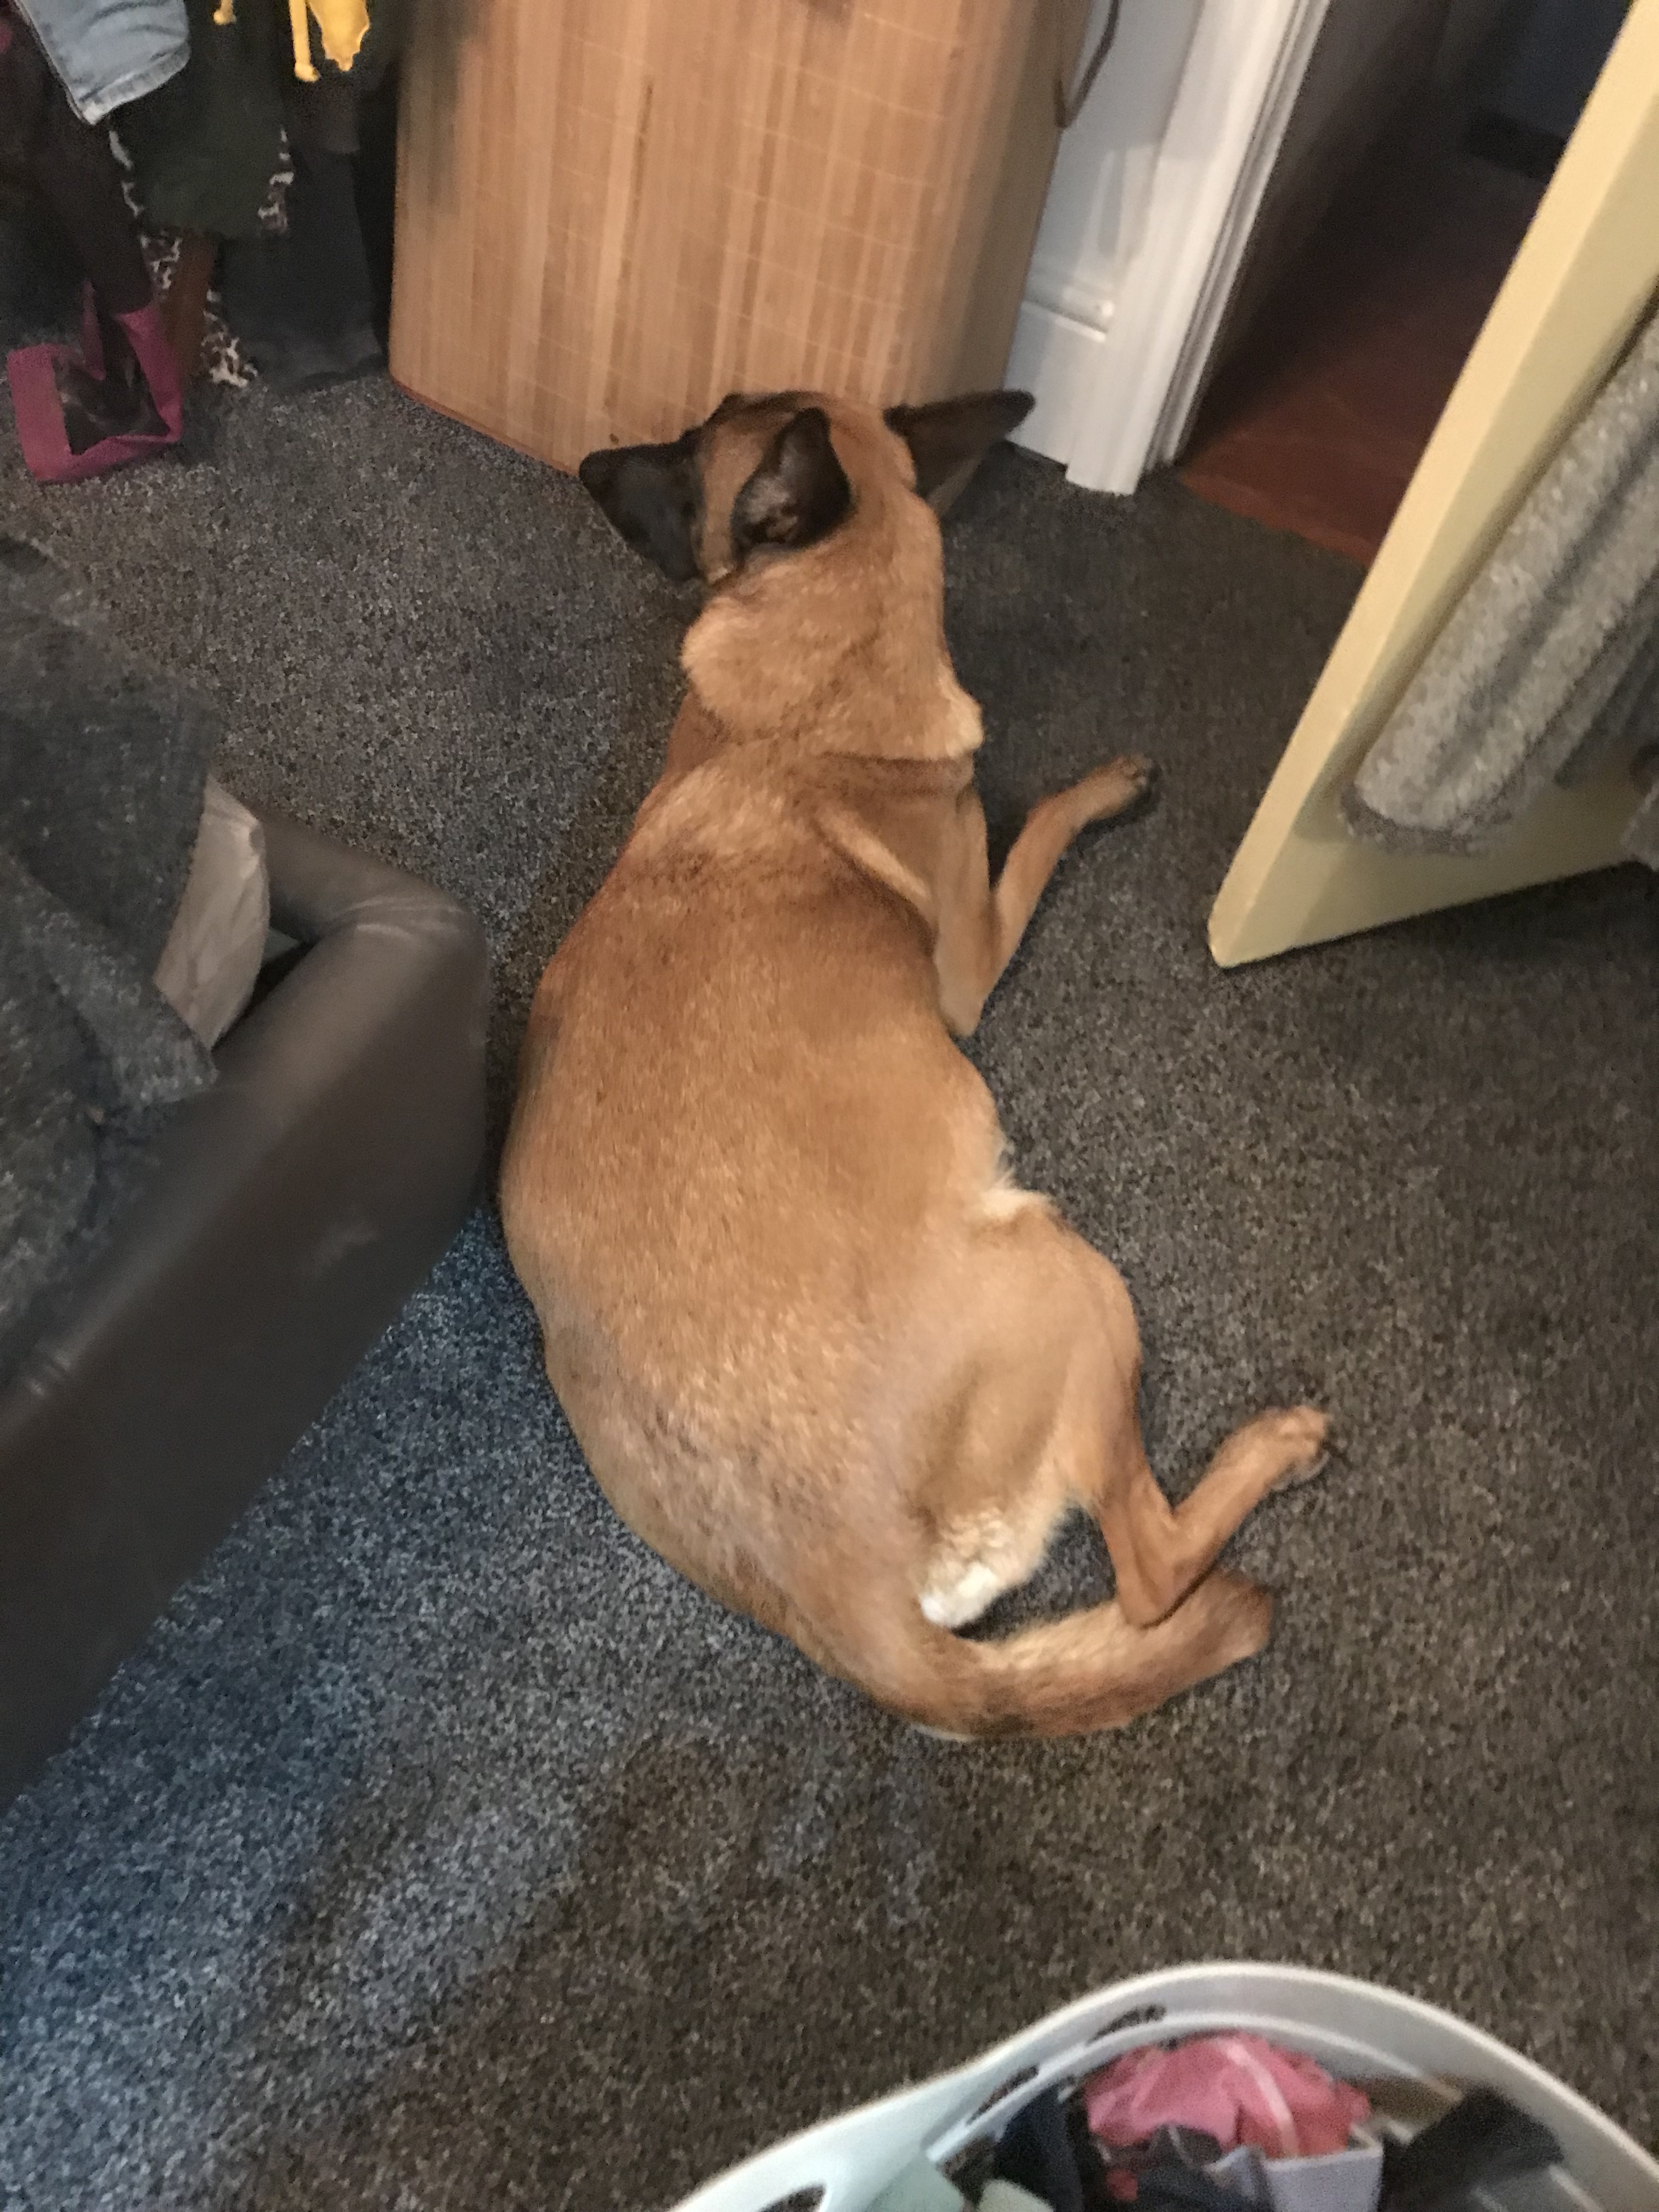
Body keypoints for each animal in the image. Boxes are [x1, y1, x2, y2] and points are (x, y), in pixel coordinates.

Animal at [500, 387, 1329, 1738]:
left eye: (688, 453)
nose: (586, 456)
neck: (811, 699)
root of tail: (859, 1609)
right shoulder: (970, 960)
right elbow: (1032, 827)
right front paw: (1099, 785)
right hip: (1068, 1267)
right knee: (1149, 1576)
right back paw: (1272, 1449)